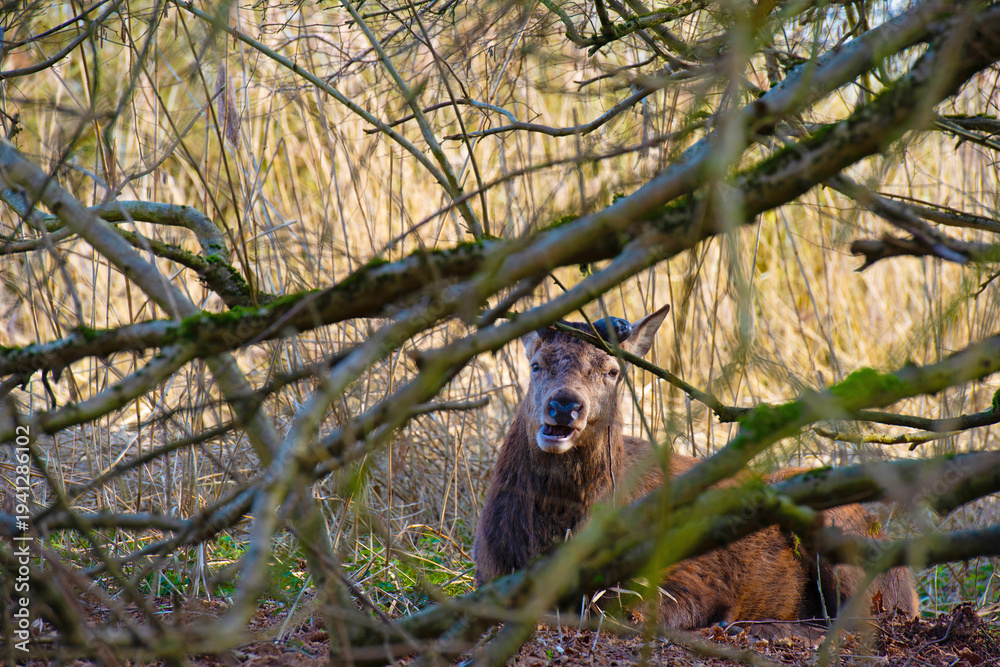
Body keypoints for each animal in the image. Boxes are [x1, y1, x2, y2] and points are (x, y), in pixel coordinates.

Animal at [473, 304, 918, 634]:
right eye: (536, 364)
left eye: (612, 372)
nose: (565, 405)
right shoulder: (487, 575)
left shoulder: (690, 577)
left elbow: (629, 612)